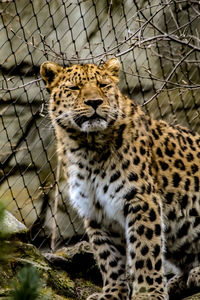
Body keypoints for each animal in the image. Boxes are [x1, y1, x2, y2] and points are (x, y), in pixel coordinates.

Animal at [39, 57, 200, 298]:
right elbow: (108, 257)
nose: (94, 102)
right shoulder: (95, 210)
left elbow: (145, 249)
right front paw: (112, 293)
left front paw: (148, 293)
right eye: (75, 88)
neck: (87, 147)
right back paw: (178, 281)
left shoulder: (141, 199)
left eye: (103, 85)